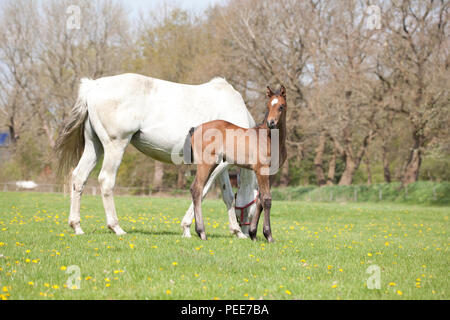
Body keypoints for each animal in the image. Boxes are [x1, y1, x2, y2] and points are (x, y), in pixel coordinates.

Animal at [55, 72, 260, 238]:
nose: (248, 232)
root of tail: (93, 87)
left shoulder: (221, 165)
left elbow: (227, 195)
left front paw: (235, 231)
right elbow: (203, 191)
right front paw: (188, 228)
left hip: (94, 146)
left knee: (79, 178)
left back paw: (77, 226)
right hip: (115, 146)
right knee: (106, 180)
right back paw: (116, 227)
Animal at [184, 86, 286, 241]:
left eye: (281, 106)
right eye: (268, 106)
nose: (271, 123)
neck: (269, 138)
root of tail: (196, 128)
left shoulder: (272, 173)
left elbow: (260, 200)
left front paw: (253, 234)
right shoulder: (261, 170)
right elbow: (267, 199)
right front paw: (268, 235)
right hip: (206, 164)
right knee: (197, 189)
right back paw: (201, 232)